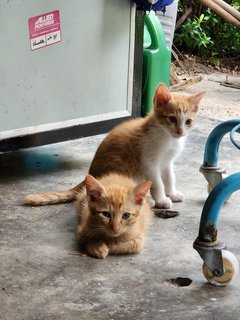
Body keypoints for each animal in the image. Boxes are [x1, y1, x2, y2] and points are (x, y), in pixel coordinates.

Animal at [24, 82, 204, 209]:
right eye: (172, 119)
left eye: (188, 122)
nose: (180, 132)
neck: (167, 137)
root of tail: (90, 176)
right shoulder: (149, 163)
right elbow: (157, 182)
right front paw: (161, 199)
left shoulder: (167, 162)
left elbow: (169, 177)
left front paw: (172, 193)